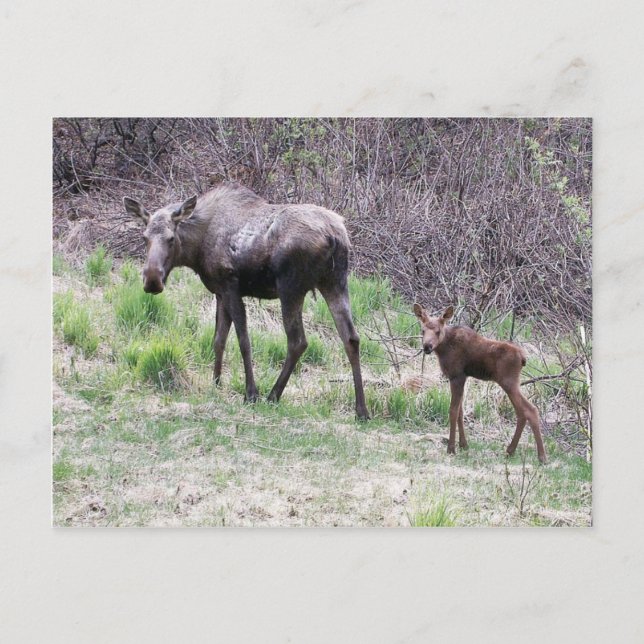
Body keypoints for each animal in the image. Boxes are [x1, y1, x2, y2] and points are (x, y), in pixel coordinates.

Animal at [123, 182, 368, 419]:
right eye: (144, 237)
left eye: (171, 238)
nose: (152, 280)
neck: (196, 249)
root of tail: (334, 237)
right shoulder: (220, 292)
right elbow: (219, 339)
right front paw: (216, 383)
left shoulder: (231, 286)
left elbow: (243, 341)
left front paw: (251, 393)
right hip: (335, 283)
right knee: (351, 338)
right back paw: (361, 410)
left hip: (291, 288)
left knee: (298, 341)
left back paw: (273, 395)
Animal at [413, 304, 546, 464]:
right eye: (422, 330)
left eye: (438, 331)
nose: (427, 346)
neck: (443, 348)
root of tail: (523, 359)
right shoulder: (461, 377)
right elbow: (460, 412)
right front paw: (463, 445)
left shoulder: (457, 376)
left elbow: (453, 411)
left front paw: (451, 448)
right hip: (512, 383)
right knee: (526, 411)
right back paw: (513, 451)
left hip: (509, 382)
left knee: (528, 410)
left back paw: (539, 456)